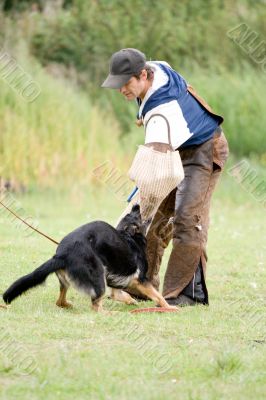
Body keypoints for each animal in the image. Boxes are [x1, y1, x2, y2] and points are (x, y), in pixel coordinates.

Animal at [3, 205, 177, 310]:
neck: (129, 236)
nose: (136, 205)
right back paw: (109, 314)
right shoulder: (141, 280)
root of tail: (62, 254)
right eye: (136, 214)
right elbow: (158, 296)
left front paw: (131, 301)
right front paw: (169, 308)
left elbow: (120, 294)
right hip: (98, 277)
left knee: (60, 301)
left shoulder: (117, 281)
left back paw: (68, 305)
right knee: (95, 307)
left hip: (67, 281)